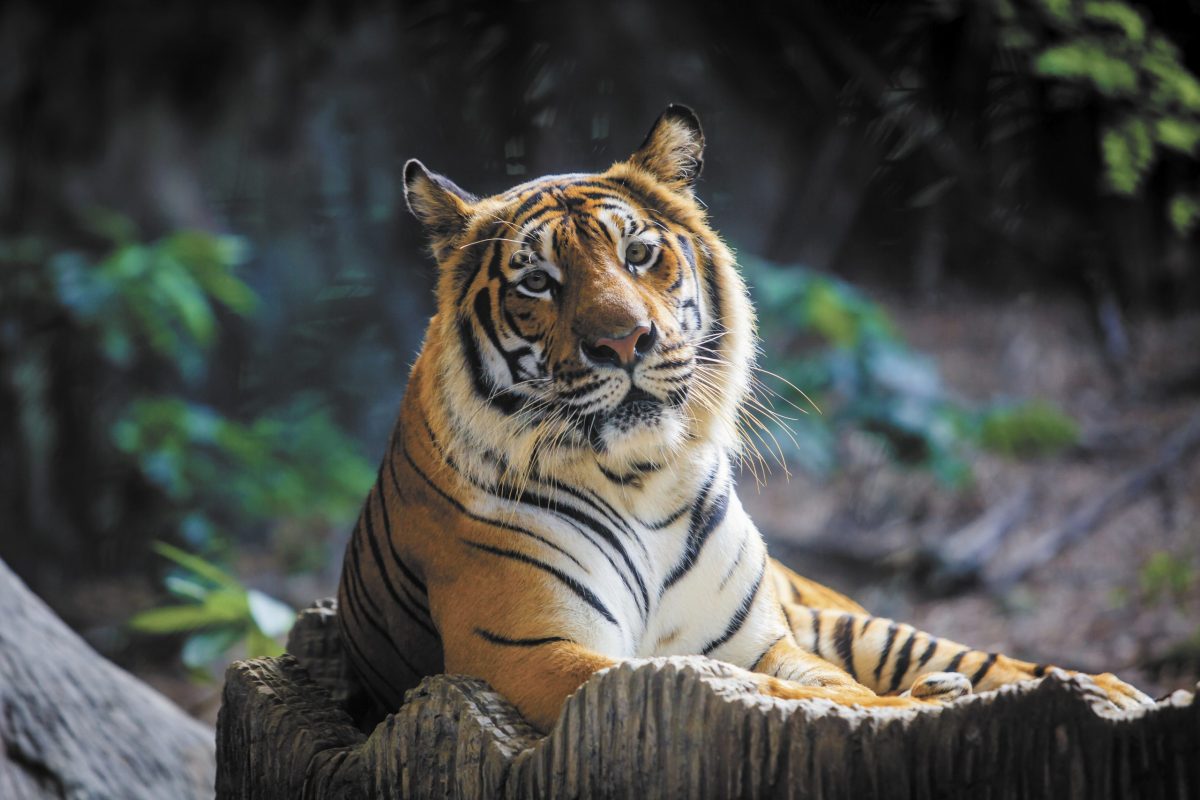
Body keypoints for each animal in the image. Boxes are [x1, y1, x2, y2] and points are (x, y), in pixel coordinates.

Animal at [336, 105, 1151, 733]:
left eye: (639, 254)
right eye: (538, 281)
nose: (623, 342)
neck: (640, 481)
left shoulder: (759, 637)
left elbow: (821, 685)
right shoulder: (535, 651)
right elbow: (800, 695)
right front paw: (911, 710)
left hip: (841, 614)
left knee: (968, 655)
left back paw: (1108, 692)